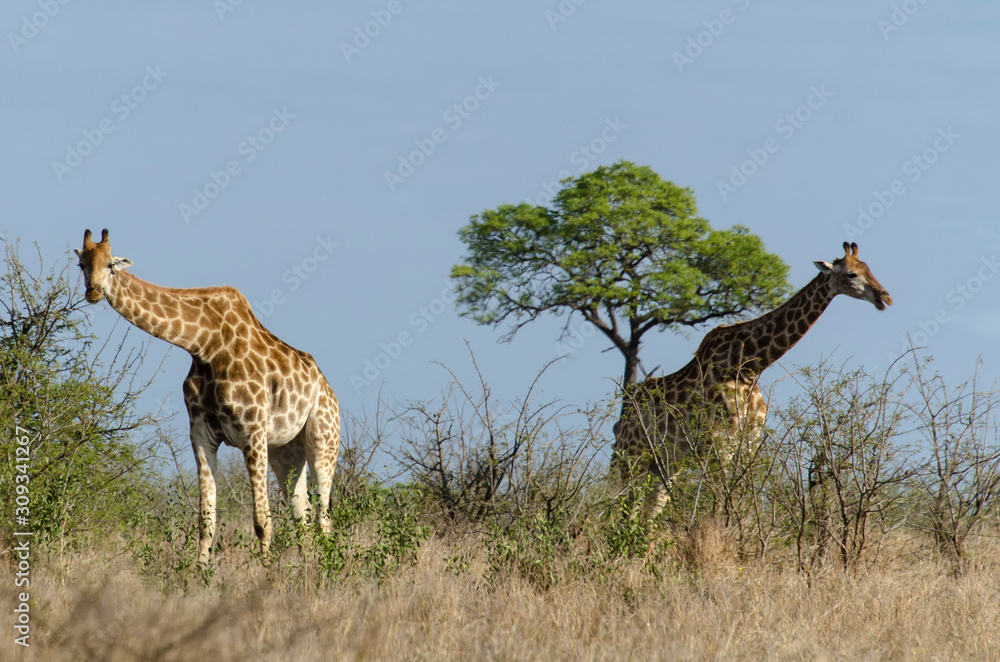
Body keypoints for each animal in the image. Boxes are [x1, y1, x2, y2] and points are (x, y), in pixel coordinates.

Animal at [74, 229, 340, 564]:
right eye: (82, 265)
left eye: (110, 264)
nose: (93, 292)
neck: (205, 344)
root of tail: (329, 389)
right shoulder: (201, 433)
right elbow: (206, 520)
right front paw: (199, 572)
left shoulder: (252, 431)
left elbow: (262, 521)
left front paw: (268, 574)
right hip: (287, 451)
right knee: (302, 513)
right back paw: (310, 568)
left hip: (323, 439)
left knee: (323, 517)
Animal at [612, 242, 892, 516]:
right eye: (851, 274)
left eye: (868, 269)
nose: (885, 296)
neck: (749, 367)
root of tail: (621, 422)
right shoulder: (720, 444)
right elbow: (720, 501)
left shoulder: (749, 443)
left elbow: (741, 497)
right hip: (632, 459)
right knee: (623, 509)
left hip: (664, 464)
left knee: (648, 513)